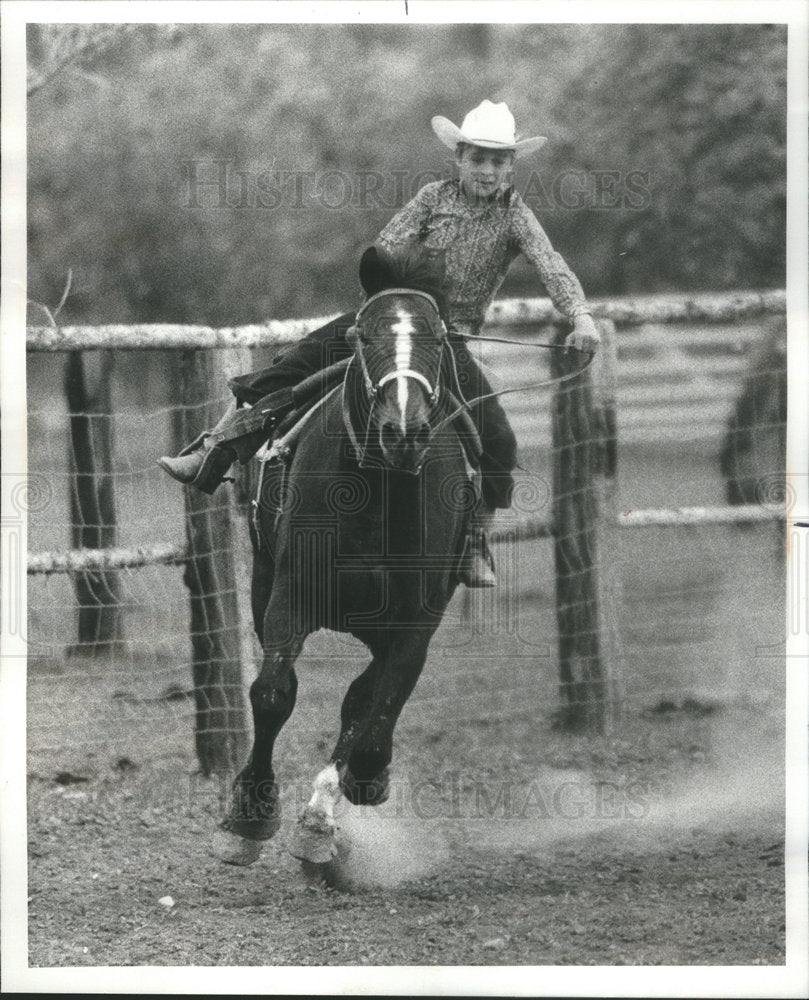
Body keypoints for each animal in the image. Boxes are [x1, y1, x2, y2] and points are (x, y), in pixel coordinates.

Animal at [215, 244, 476, 868]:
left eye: (439, 337)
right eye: (364, 333)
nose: (402, 430)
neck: (375, 494)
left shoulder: (416, 621)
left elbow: (378, 708)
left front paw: (355, 788)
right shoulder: (289, 597)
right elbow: (273, 694)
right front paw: (250, 816)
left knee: (365, 699)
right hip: (263, 583)